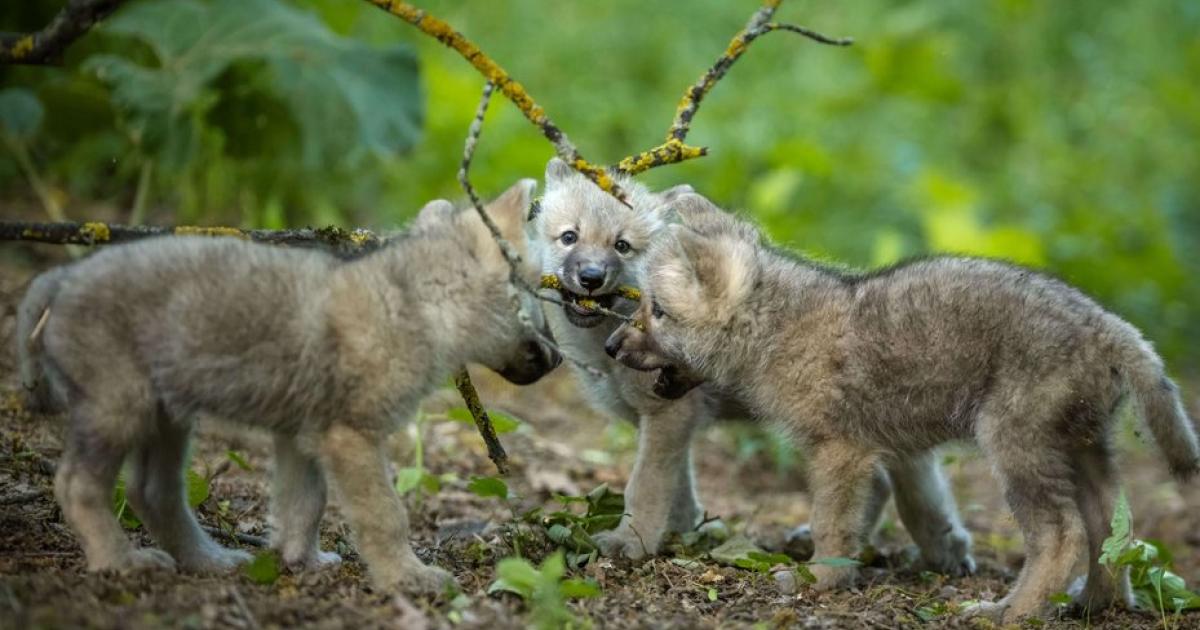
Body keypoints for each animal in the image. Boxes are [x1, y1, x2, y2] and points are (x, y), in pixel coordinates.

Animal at [14, 180, 559, 594]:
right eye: (536, 301)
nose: (557, 360)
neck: (415, 304)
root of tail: (61, 277)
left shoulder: (304, 434)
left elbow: (305, 505)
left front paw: (301, 562)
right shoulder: (351, 435)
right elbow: (385, 516)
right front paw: (408, 577)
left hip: (166, 415)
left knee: (154, 493)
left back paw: (210, 561)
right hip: (121, 408)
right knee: (78, 484)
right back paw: (120, 562)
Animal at [535, 158, 975, 576]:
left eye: (622, 246)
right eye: (569, 237)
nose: (591, 277)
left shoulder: (669, 417)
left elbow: (645, 487)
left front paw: (631, 541)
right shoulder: (658, 423)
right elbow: (680, 492)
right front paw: (685, 535)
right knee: (908, 489)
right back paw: (944, 551)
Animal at [605, 193, 1200, 622]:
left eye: (657, 311)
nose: (610, 346)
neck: (776, 330)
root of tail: (1112, 328)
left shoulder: (840, 453)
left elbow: (832, 525)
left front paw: (819, 582)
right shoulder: (875, 454)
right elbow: (882, 512)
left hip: (1014, 445)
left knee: (1063, 535)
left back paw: (1010, 611)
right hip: (1081, 448)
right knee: (1113, 529)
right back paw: (1093, 604)